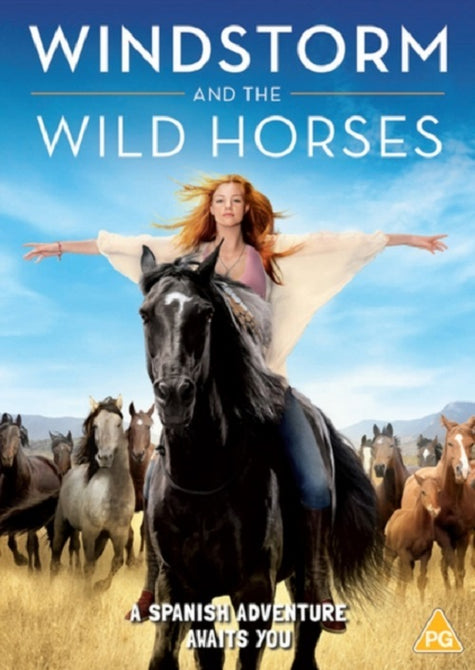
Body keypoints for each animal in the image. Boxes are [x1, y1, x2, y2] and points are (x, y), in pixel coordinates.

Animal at [0, 413, 61, 571]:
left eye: (18, 436)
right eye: (1, 435)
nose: (6, 460)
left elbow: (30, 544)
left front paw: (27, 566)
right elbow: (12, 542)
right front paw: (21, 560)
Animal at [50, 396, 135, 591]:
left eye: (119, 424)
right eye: (95, 425)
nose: (104, 458)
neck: (114, 497)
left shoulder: (118, 534)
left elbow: (117, 561)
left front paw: (99, 587)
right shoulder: (89, 533)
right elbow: (88, 566)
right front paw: (88, 591)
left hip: (102, 539)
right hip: (62, 525)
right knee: (55, 557)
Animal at [139, 246, 382, 670]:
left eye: (206, 313)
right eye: (145, 314)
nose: (175, 395)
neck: (203, 477)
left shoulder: (254, 591)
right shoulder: (181, 587)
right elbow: (185, 654)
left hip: (303, 580)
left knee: (306, 642)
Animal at [401, 415, 475, 590]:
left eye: (471, 443)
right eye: (450, 443)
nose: (463, 471)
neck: (453, 498)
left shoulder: (464, 536)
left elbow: (460, 570)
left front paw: (458, 592)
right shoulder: (443, 536)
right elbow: (453, 566)